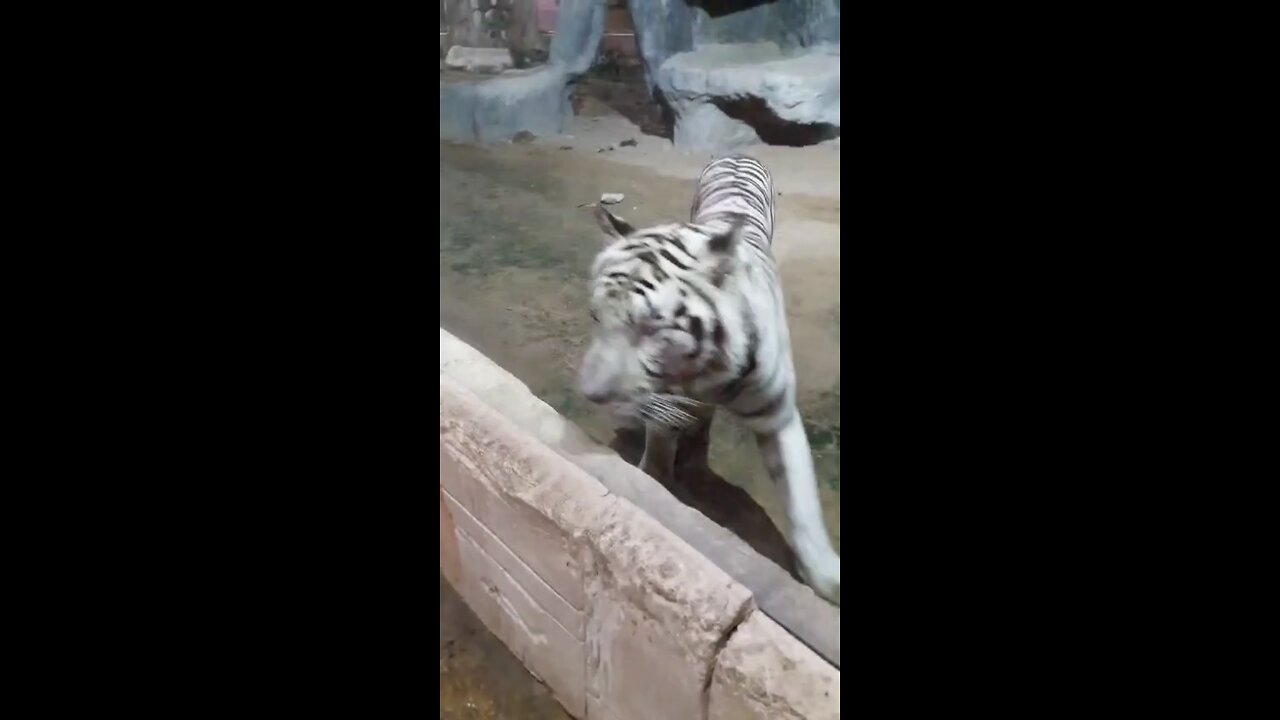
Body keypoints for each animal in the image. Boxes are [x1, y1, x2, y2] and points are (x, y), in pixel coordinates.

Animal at [578, 154, 839, 602]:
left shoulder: (778, 416)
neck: (704, 370)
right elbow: (659, 449)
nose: (591, 394)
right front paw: (654, 481)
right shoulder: (664, 400)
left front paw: (827, 580)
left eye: (649, 327)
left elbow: (801, 503)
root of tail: (736, 155)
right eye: (597, 317)